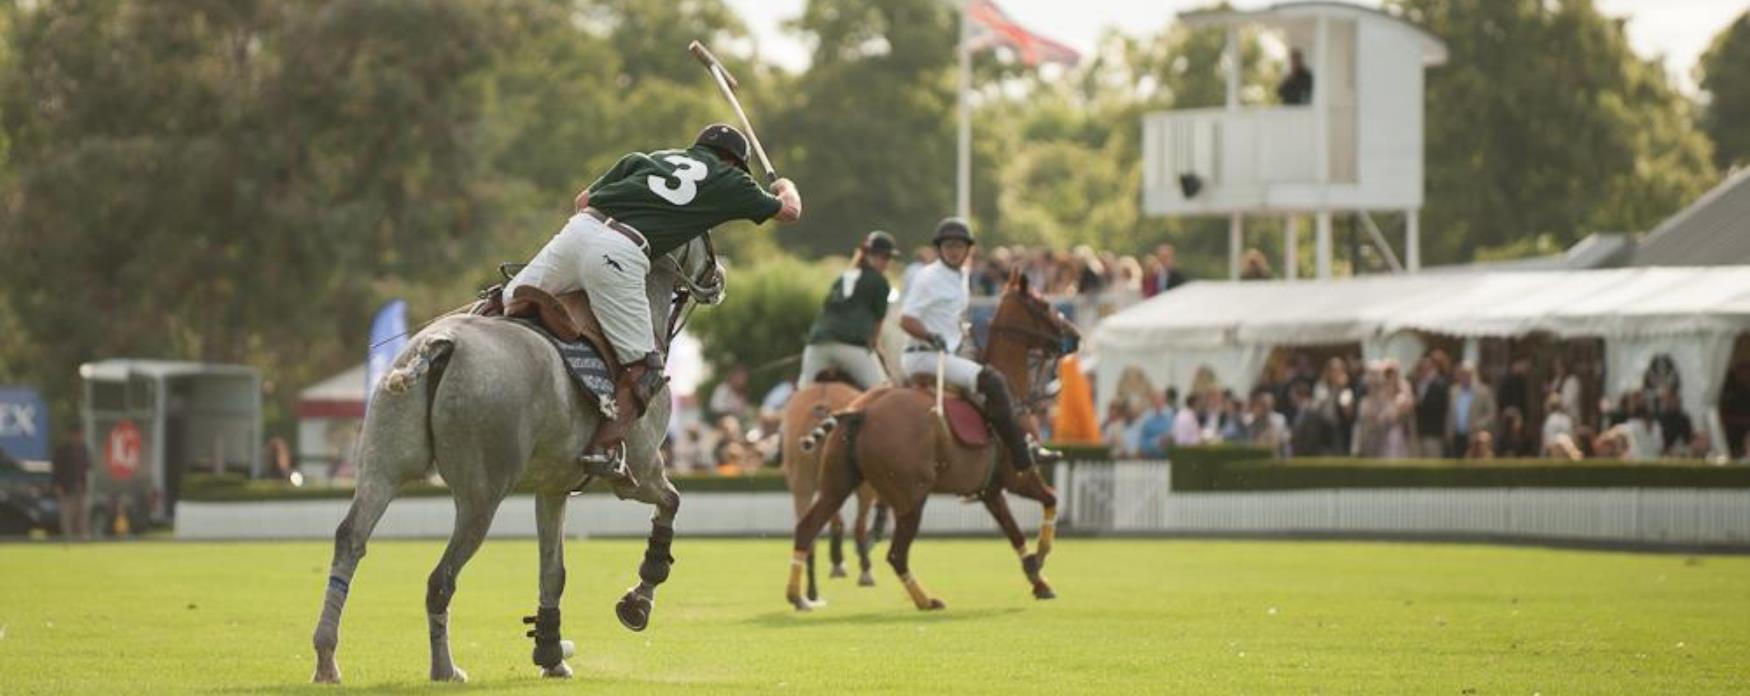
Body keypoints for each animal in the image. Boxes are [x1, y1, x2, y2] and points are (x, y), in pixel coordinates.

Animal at [311, 236, 721, 682]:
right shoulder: (640, 473)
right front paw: (637, 602)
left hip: (382, 468)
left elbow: (553, 573)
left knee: (351, 539)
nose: (717, 278)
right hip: (481, 495)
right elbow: (670, 504)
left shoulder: (553, 488)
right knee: (441, 578)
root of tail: (440, 346)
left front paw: (551, 655)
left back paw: (327, 660)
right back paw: (444, 669)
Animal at [784, 377, 889, 605]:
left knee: (808, 531)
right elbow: (849, 524)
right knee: (857, 525)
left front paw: (838, 562)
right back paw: (865, 571)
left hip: (802, 484)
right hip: (858, 485)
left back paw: (810, 594)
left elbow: (836, 521)